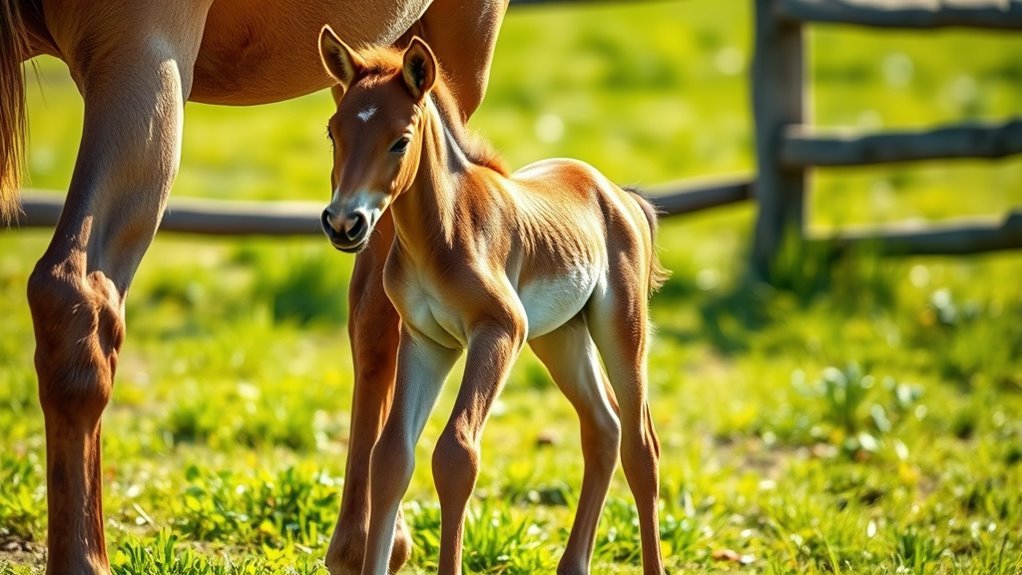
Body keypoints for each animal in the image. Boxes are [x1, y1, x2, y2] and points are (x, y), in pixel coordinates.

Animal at [0, 1, 507, 573]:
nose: (340, 224)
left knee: (382, 311)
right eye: (330, 136)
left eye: (401, 141)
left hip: (454, 49)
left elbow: (75, 293)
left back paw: (367, 541)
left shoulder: (142, 51)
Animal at [318, 27, 669, 575]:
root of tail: (618, 194)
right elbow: (391, 456)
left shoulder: (499, 331)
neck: (443, 230)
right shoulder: (426, 341)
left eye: (400, 140)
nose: (343, 223)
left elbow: (456, 454)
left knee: (640, 445)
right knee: (602, 427)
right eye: (334, 133)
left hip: (620, 327)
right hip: (560, 337)